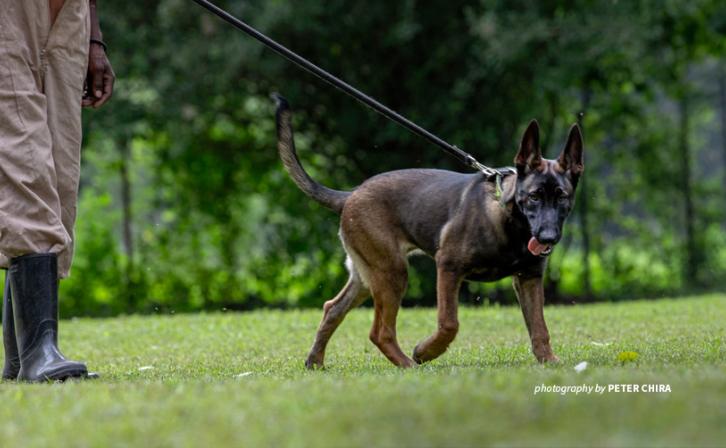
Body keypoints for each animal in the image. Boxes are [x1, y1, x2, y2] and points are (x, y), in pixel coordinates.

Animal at [272, 94, 584, 368]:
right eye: (533, 197)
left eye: (562, 198)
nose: (547, 238)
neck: (511, 221)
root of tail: (349, 195)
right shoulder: (448, 267)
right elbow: (449, 323)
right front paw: (426, 351)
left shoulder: (529, 278)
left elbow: (539, 327)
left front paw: (548, 360)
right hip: (392, 272)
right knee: (379, 332)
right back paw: (408, 363)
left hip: (367, 274)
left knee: (332, 309)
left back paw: (315, 361)